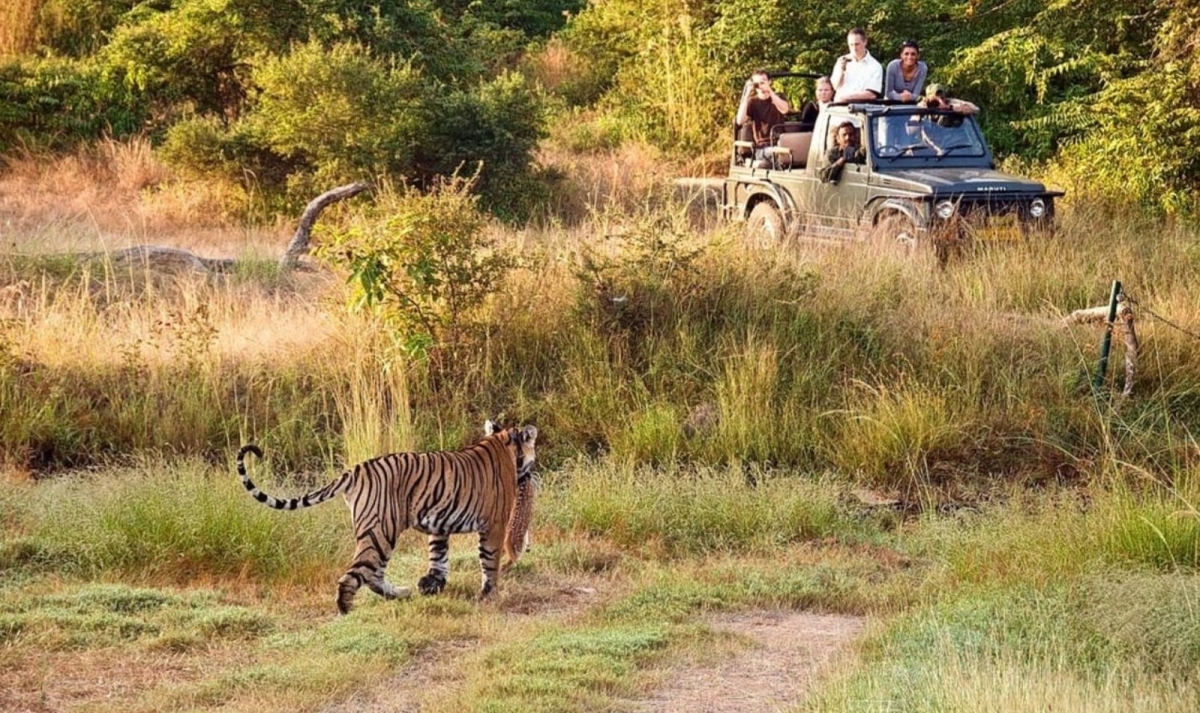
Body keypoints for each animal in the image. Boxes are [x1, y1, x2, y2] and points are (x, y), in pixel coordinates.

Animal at [236, 422, 538, 614]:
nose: (534, 473)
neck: (502, 443)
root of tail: (354, 470)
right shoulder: (495, 524)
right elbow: (490, 561)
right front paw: (490, 593)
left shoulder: (440, 522)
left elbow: (438, 556)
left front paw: (432, 584)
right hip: (381, 531)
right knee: (356, 575)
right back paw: (347, 610)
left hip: (379, 532)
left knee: (373, 575)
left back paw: (401, 593)